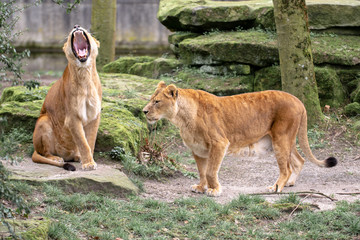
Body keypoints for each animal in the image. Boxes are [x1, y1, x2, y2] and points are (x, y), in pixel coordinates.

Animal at [31, 25, 101, 171]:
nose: (76, 26)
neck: (84, 74)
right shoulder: (72, 118)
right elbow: (83, 142)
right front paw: (88, 163)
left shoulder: (94, 116)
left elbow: (90, 142)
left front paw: (89, 160)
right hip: (44, 121)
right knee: (45, 153)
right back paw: (56, 158)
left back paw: (77, 156)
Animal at [143, 81, 338, 196]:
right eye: (151, 99)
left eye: (157, 102)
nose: (144, 111)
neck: (182, 118)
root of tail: (298, 100)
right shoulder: (198, 149)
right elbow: (201, 171)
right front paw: (200, 187)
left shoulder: (219, 143)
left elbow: (210, 171)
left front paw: (214, 190)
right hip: (285, 140)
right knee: (299, 160)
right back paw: (289, 184)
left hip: (281, 138)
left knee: (287, 168)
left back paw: (276, 188)